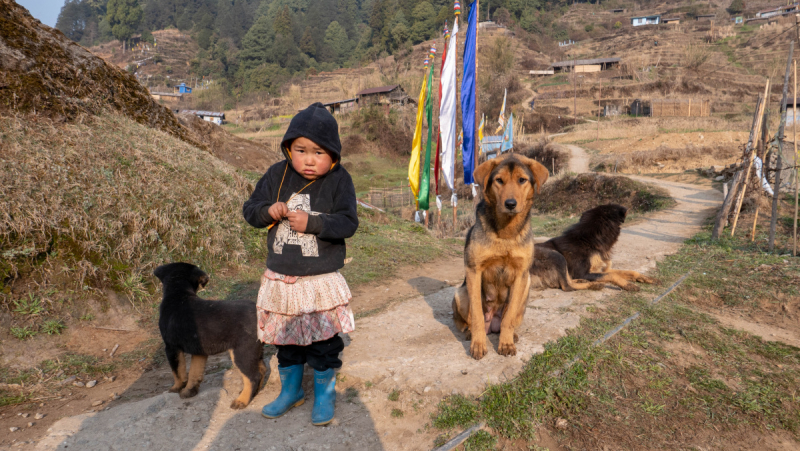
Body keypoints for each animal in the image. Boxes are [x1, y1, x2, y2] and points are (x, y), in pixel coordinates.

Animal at [154, 264, 268, 412]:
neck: (178, 294)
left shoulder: (171, 348)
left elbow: (178, 372)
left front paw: (176, 388)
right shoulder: (199, 351)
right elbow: (194, 372)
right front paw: (189, 392)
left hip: (242, 352)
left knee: (253, 376)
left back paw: (242, 401)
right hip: (254, 351)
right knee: (261, 369)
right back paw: (252, 393)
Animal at [454, 154, 548, 360]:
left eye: (522, 180)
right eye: (499, 180)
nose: (510, 204)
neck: (506, 232)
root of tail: (492, 324)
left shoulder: (521, 275)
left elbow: (509, 316)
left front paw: (506, 343)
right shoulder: (474, 270)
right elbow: (477, 315)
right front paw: (478, 344)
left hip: (526, 287)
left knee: (509, 318)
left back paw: (512, 335)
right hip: (460, 293)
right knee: (467, 321)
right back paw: (470, 333)